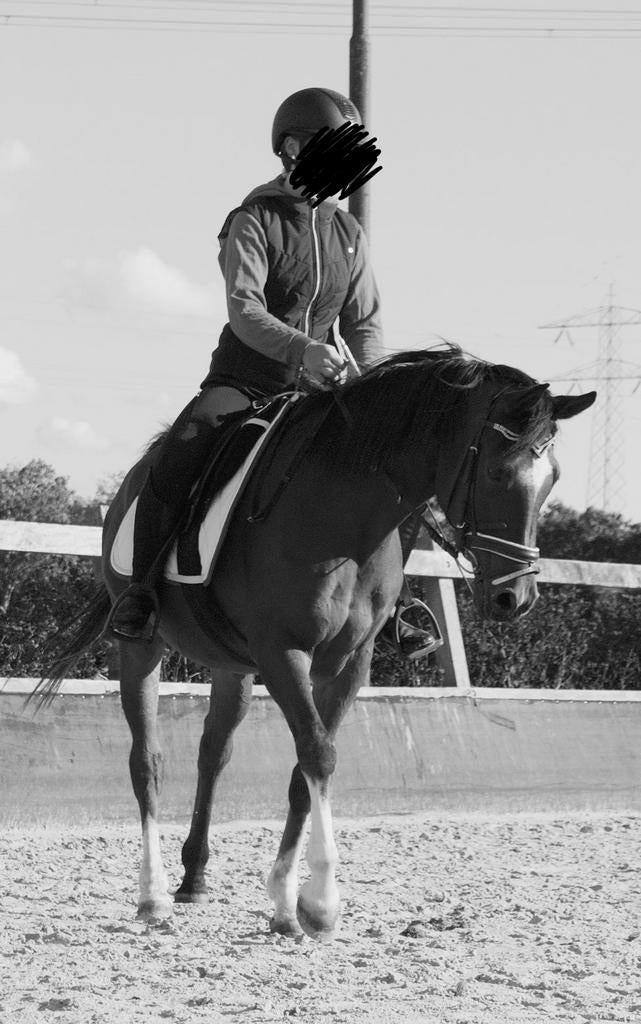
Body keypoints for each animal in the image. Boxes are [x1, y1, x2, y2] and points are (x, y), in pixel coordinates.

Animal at [35, 347, 595, 940]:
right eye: (494, 472)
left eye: (554, 479)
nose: (517, 598)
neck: (344, 517)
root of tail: (131, 484)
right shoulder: (285, 654)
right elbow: (319, 755)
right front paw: (321, 902)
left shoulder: (349, 665)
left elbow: (303, 774)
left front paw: (285, 903)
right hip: (142, 648)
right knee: (147, 760)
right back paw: (153, 894)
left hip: (233, 667)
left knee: (214, 753)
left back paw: (195, 877)